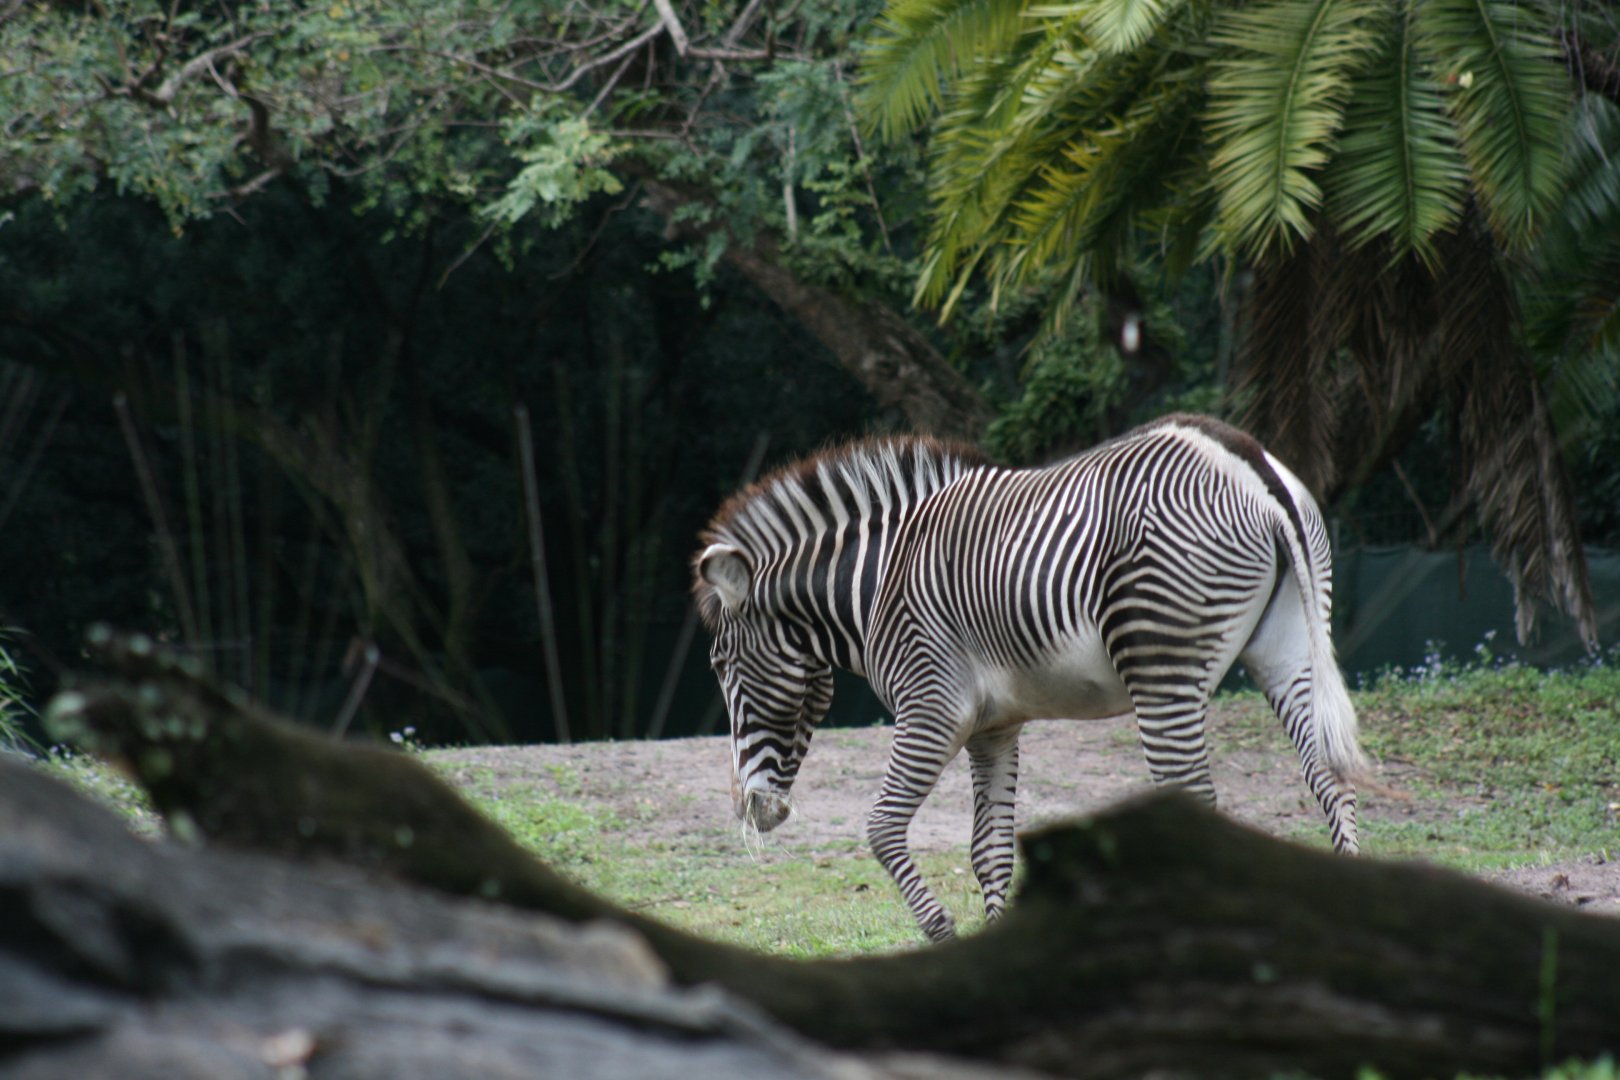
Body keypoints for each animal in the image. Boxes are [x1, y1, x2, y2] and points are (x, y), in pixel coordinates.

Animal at [693, 414, 1364, 942]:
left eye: (721, 667)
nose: (749, 811)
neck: (874, 587)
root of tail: (1243, 457)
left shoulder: (932, 705)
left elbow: (882, 828)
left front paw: (942, 932)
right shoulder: (994, 727)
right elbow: (988, 850)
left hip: (1161, 667)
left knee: (1197, 796)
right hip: (1288, 647)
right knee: (1331, 778)